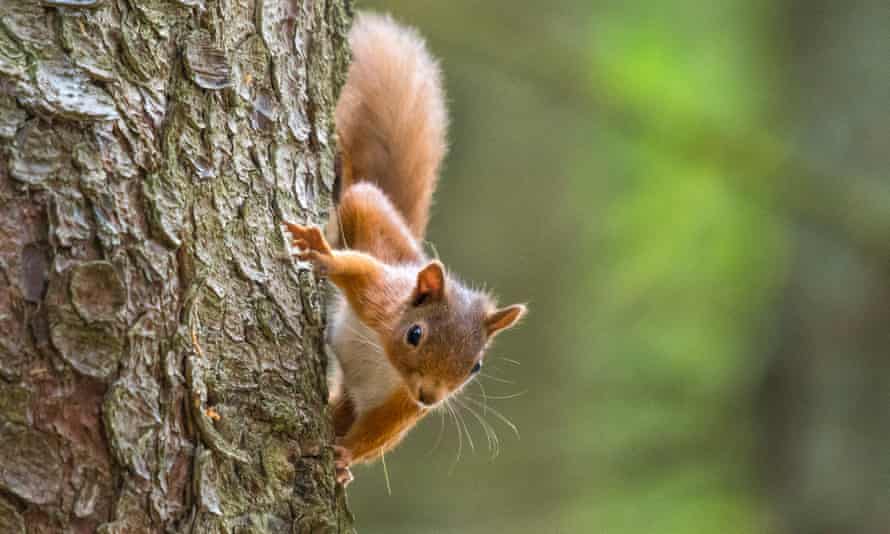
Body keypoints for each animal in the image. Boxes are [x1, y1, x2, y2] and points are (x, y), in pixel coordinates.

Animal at [284, 11, 524, 490]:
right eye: (415, 334)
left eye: (476, 367)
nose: (431, 397)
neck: (391, 368)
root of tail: (413, 252)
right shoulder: (381, 298)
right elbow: (358, 271)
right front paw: (324, 257)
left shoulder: (400, 406)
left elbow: (380, 434)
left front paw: (344, 458)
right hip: (371, 219)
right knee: (357, 199)